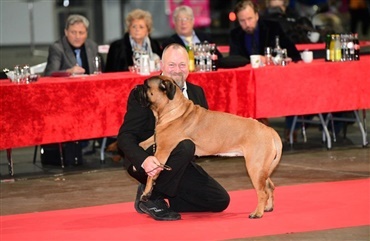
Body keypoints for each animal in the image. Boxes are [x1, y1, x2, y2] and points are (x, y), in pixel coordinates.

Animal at [137, 75, 282, 218]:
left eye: (146, 85)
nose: (136, 87)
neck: (173, 109)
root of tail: (269, 130)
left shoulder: (162, 150)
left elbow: (151, 175)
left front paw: (146, 192)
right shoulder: (158, 139)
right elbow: (144, 143)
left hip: (255, 167)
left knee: (262, 192)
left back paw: (257, 213)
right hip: (262, 168)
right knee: (269, 186)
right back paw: (268, 207)